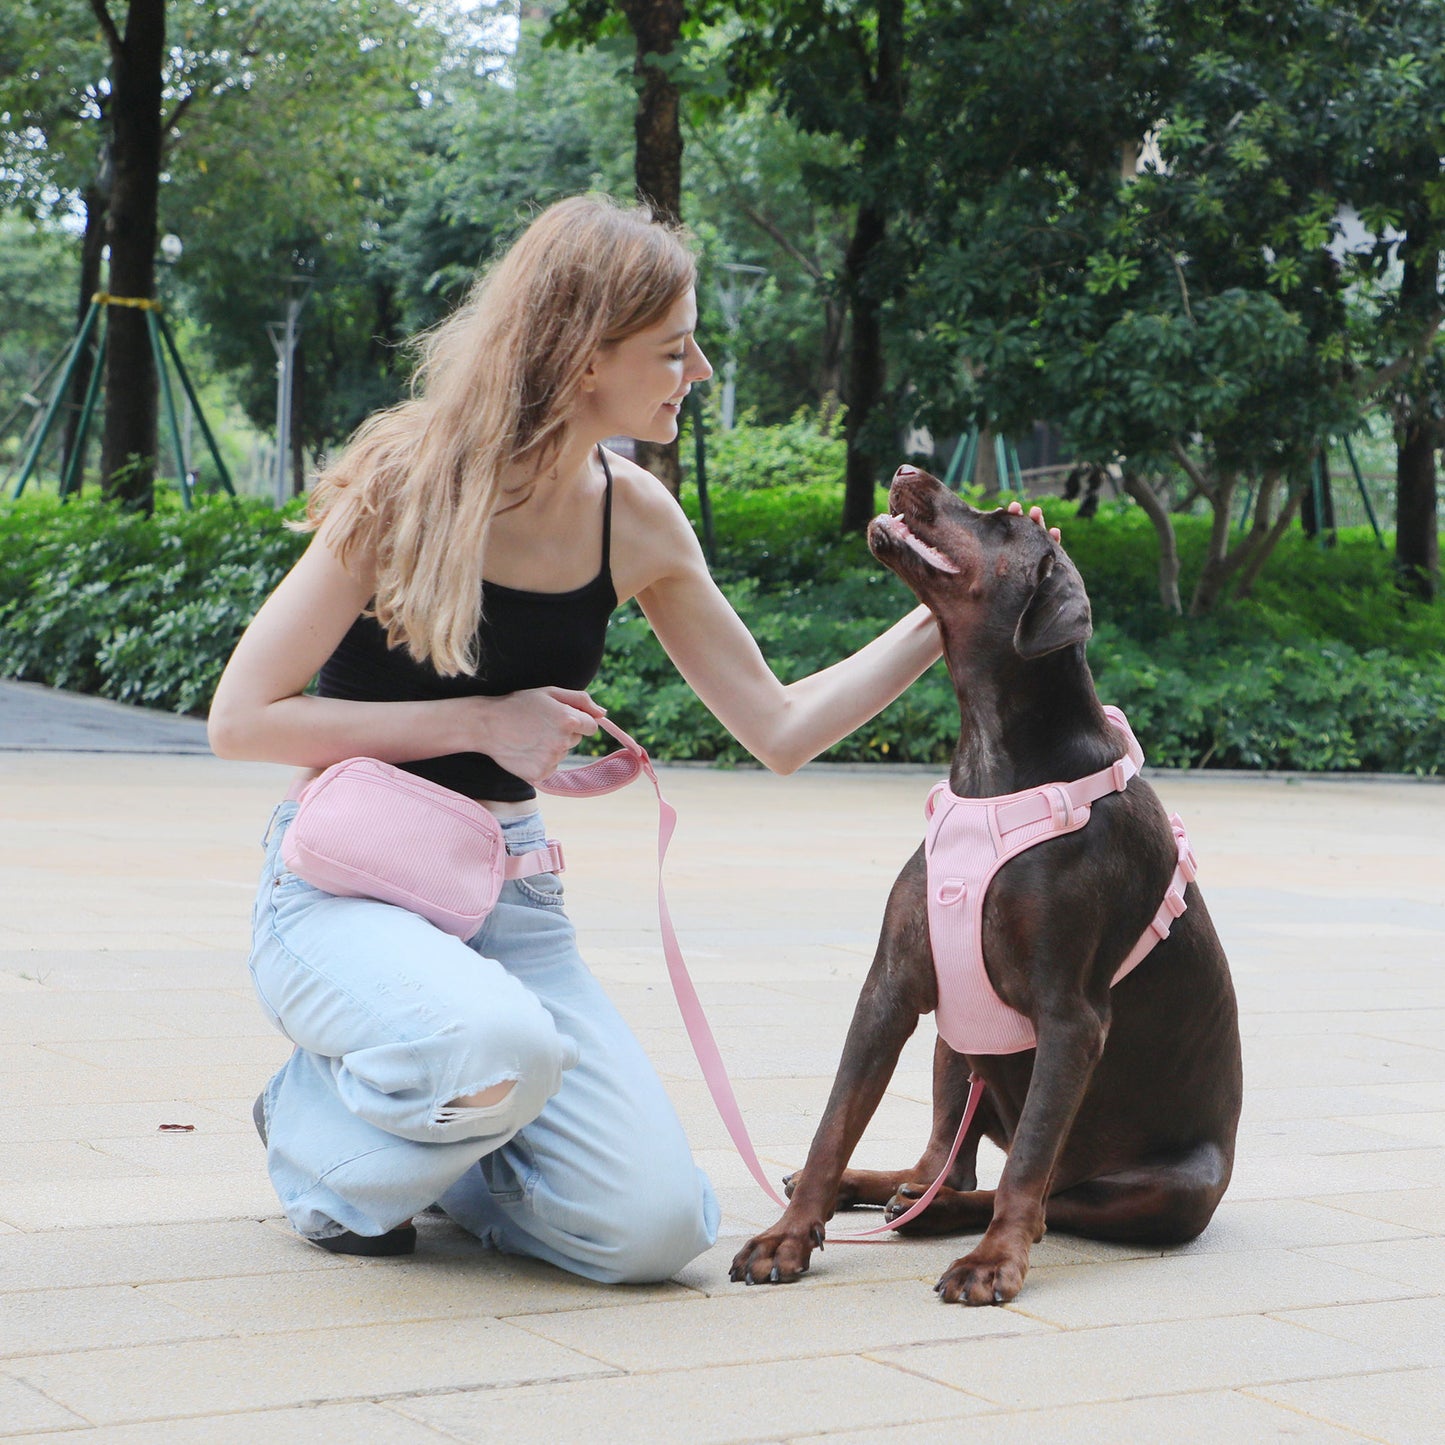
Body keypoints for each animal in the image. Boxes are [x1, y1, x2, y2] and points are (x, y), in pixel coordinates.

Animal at [734, 465, 1242, 1312]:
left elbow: (1028, 1162)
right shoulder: (892, 984)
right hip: (955, 1038)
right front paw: (788, 1234)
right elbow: (835, 1120)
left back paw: (942, 1215)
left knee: (1043, 1192)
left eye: (1003, 522)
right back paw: (888, 1189)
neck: (992, 761)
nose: (906, 471)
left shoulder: (1071, 1016)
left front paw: (992, 1261)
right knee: (944, 1156)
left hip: (1175, 1185)